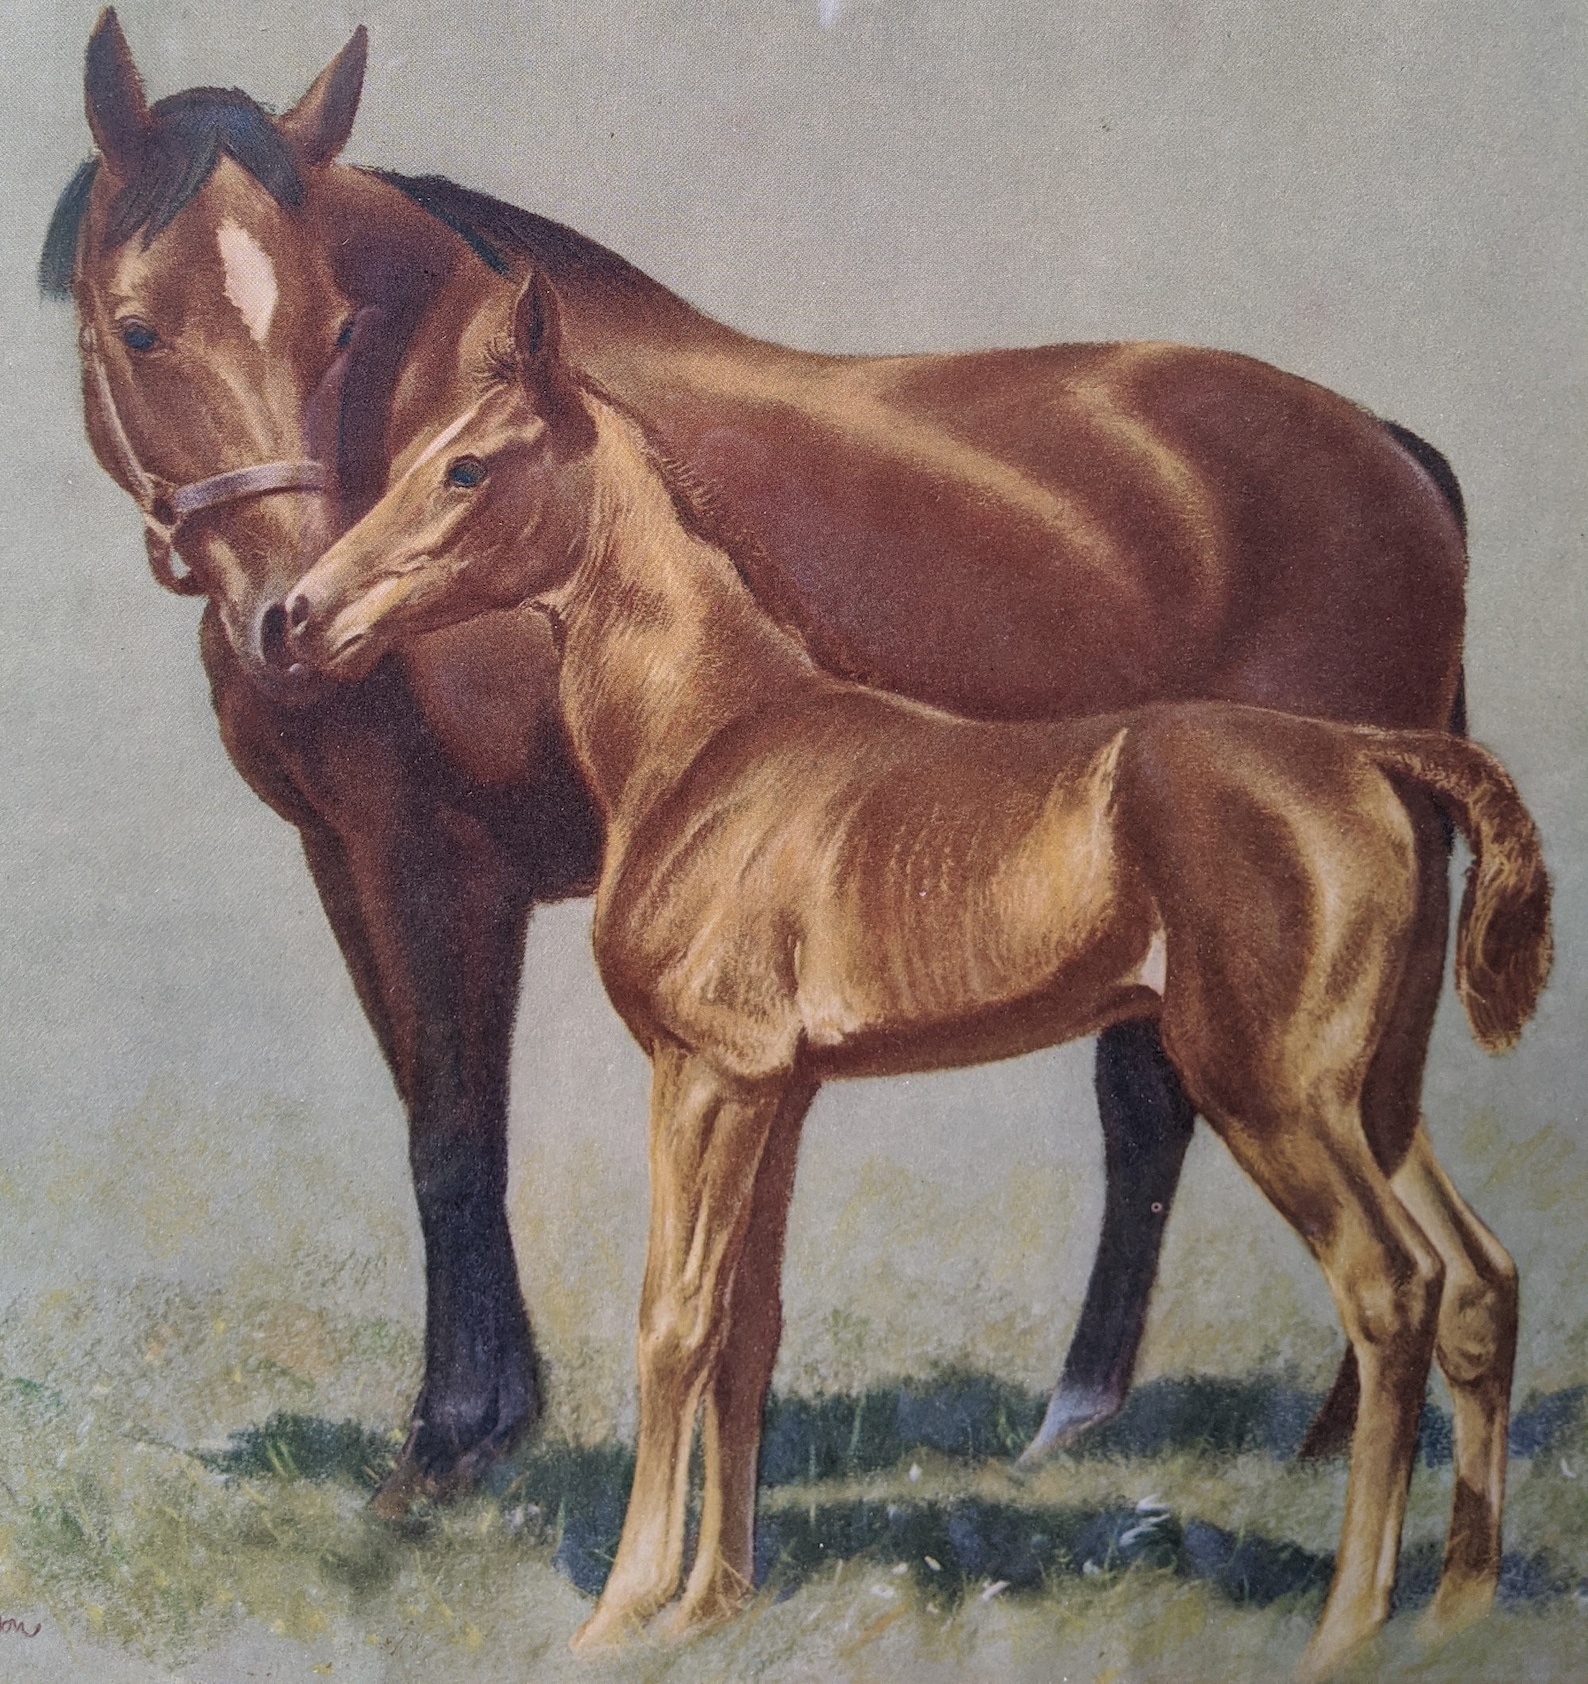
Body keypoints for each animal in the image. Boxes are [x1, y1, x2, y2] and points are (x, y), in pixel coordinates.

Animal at [43, 11, 1469, 1509]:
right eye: (140, 327)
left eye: (329, 329)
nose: (293, 613)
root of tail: (1398, 454)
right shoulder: (353, 861)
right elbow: (443, 1118)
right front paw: (494, 1422)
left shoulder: (439, 867)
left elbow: (452, 1139)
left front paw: (445, 1446)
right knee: (1195, 1107)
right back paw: (1110, 1420)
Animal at [283, 272, 1549, 1680]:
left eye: (465, 467)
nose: (299, 616)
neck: (714, 738)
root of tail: (1373, 755)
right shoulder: (779, 1092)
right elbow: (748, 1332)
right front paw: (715, 1601)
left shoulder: (704, 1077)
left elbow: (673, 1324)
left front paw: (619, 1611)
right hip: (1371, 1093)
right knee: (1479, 1282)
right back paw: (1458, 1604)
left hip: (1270, 1096)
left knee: (1392, 1291)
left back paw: (1345, 1626)